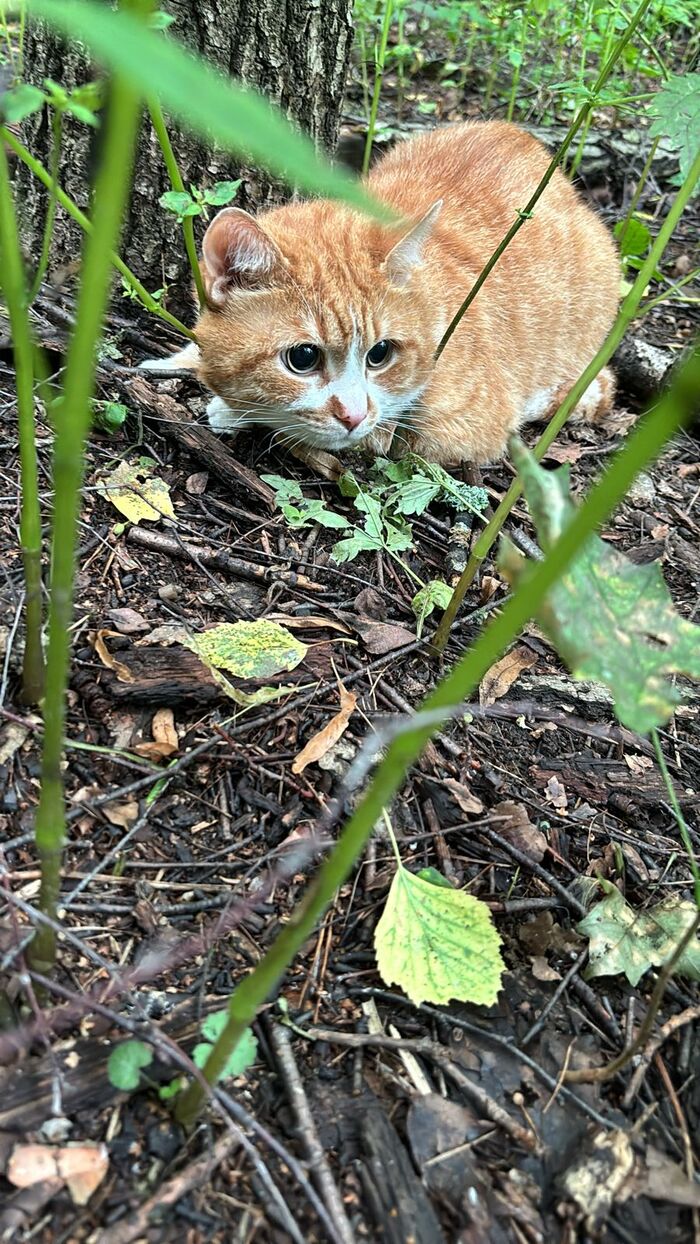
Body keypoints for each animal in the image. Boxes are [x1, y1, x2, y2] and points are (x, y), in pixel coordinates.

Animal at [146, 123, 619, 465]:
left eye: (381, 354)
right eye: (303, 358)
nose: (353, 415)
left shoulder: (466, 427)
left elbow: (377, 437)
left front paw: (233, 410)